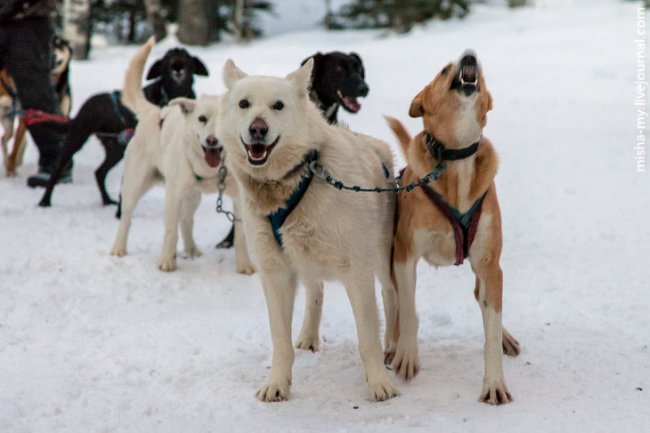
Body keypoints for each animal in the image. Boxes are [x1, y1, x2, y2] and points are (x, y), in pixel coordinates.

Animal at [38, 48, 209, 207]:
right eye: (167, 56)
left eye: (185, 54)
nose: (176, 52)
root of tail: (86, 106)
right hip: (77, 140)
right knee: (57, 170)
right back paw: (45, 201)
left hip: (116, 149)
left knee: (99, 172)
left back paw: (106, 200)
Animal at [110, 38, 252, 274]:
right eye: (202, 119)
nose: (212, 140)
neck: (211, 170)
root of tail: (154, 112)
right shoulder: (173, 195)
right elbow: (170, 231)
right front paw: (167, 262)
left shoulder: (239, 198)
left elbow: (241, 236)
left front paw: (244, 265)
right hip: (135, 186)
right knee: (127, 218)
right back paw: (119, 248)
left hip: (192, 196)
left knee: (186, 222)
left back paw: (192, 249)